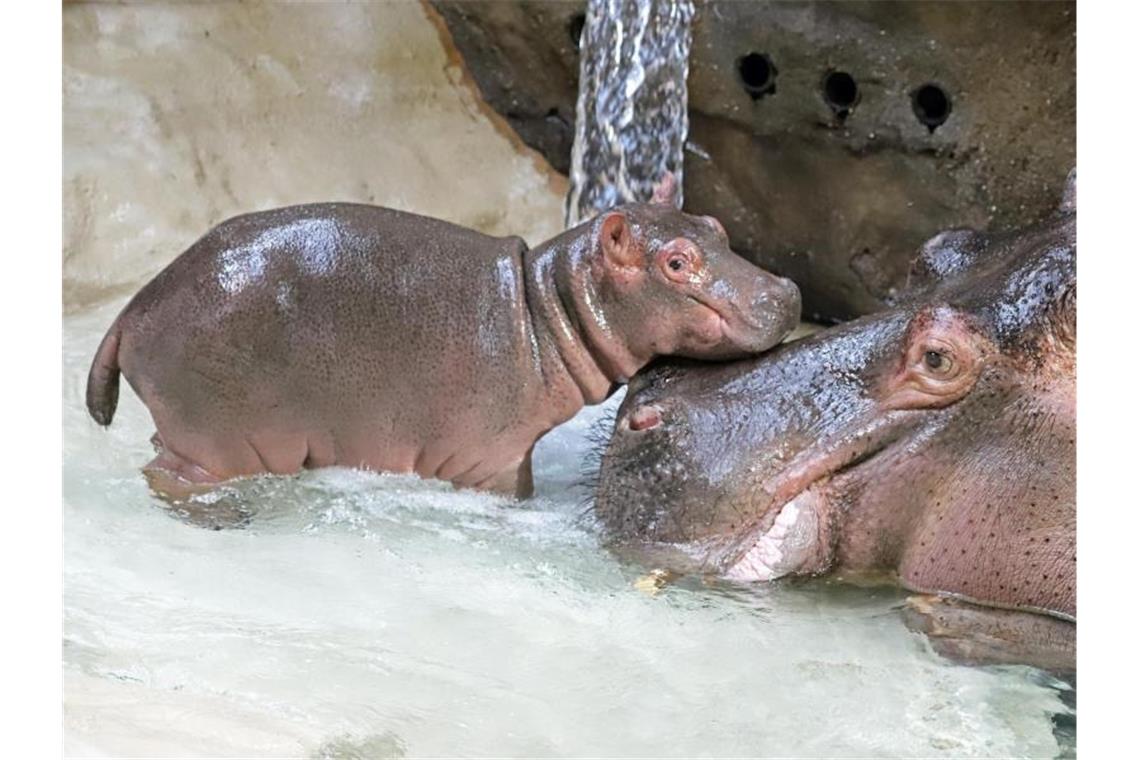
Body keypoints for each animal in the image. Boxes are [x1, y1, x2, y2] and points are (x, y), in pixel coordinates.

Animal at [86, 177, 802, 499]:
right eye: (676, 262)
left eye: (715, 228)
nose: (787, 292)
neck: (546, 305)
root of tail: (131, 310)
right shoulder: (492, 456)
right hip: (215, 440)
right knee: (171, 475)